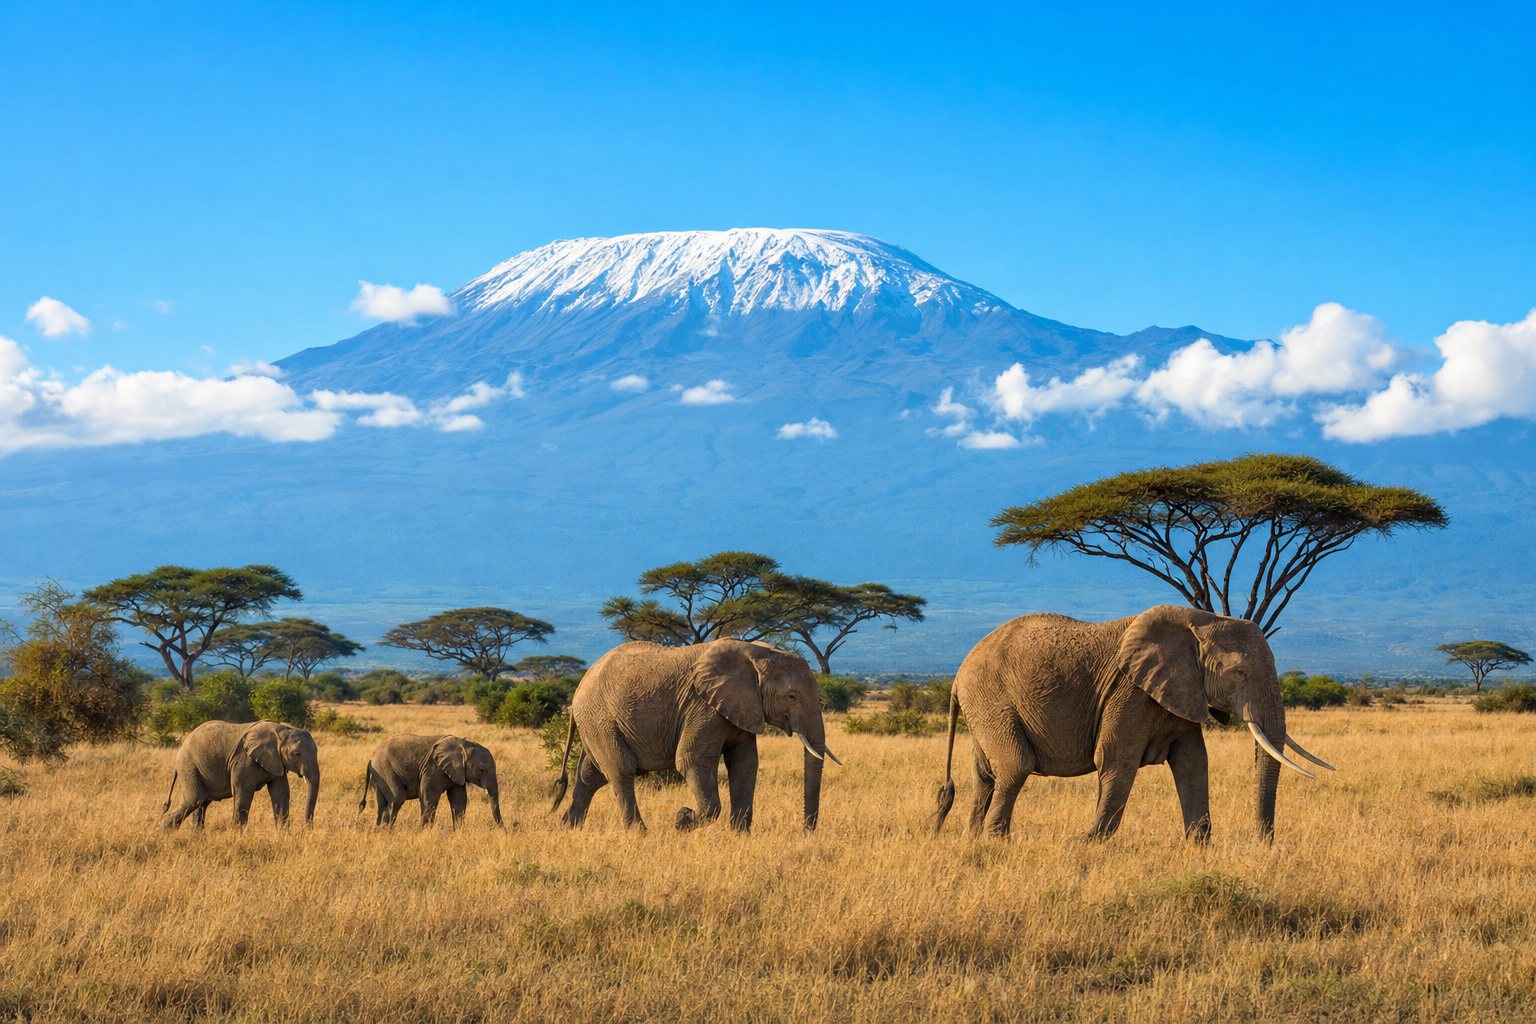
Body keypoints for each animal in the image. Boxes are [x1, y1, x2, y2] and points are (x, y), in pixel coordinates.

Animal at [162, 720, 320, 829]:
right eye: (297, 754)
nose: (307, 829)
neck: (281, 730)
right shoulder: (244, 760)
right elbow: (243, 792)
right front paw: (236, 838)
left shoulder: (277, 761)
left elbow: (280, 793)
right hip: (189, 766)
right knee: (195, 799)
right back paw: (165, 831)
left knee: (201, 804)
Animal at [358, 734, 503, 828]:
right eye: (481, 770)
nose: (503, 829)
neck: (464, 745)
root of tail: (371, 758)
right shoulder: (433, 768)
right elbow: (430, 798)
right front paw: (423, 831)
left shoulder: (457, 772)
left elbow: (459, 800)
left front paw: (459, 832)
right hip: (385, 769)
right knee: (397, 798)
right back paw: (386, 830)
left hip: (381, 773)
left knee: (382, 801)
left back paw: (379, 830)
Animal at [549, 638, 840, 832]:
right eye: (791, 696)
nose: (807, 831)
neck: (756, 653)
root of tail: (578, 691)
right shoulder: (702, 707)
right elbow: (691, 761)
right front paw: (682, 819)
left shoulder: (742, 708)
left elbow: (745, 764)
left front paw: (739, 836)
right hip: (601, 720)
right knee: (621, 771)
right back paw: (639, 834)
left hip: (597, 723)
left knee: (591, 776)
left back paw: (567, 828)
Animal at [933, 605, 1334, 842]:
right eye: (1240, 673)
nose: (1263, 843)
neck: (1202, 619)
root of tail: (958, 674)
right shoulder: (1129, 692)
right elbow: (1116, 761)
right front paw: (1086, 842)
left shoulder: (1180, 691)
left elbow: (1193, 763)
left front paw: (1198, 845)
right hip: (992, 700)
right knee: (1015, 767)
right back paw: (996, 842)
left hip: (985, 708)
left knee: (985, 775)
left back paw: (973, 841)